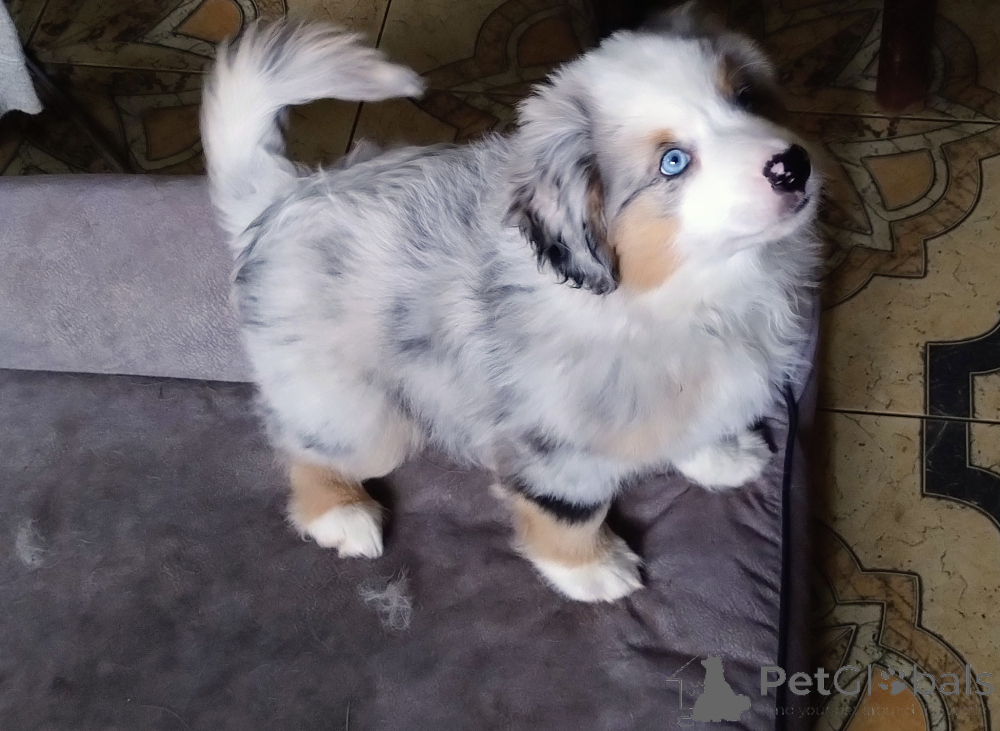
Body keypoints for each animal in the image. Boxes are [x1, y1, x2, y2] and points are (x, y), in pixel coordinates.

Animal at [201, 9, 819, 603]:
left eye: (745, 99)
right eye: (673, 162)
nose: (794, 165)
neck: (689, 294)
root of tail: (284, 197)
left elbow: (695, 423)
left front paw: (722, 457)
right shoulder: (554, 446)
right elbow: (567, 514)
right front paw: (593, 571)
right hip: (360, 416)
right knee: (301, 445)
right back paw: (340, 515)